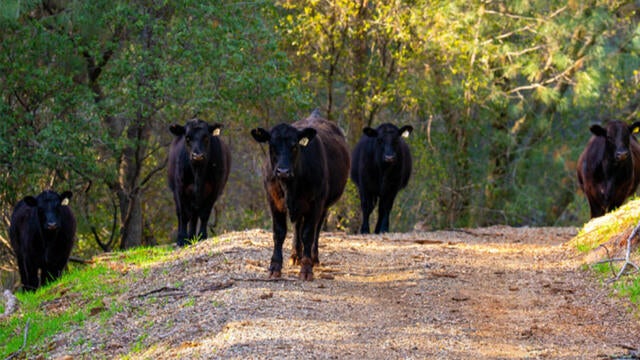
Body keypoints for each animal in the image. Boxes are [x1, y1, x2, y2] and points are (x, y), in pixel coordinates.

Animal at [250, 110, 350, 282]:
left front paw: (307, 268)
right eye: (272, 145)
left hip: (323, 205)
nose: (283, 171)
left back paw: (313, 258)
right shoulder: (273, 201)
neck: (290, 186)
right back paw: (296, 255)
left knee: (316, 229)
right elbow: (279, 232)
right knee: (297, 226)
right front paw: (275, 267)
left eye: (294, 145)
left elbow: (308, 233)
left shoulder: (316, 203)